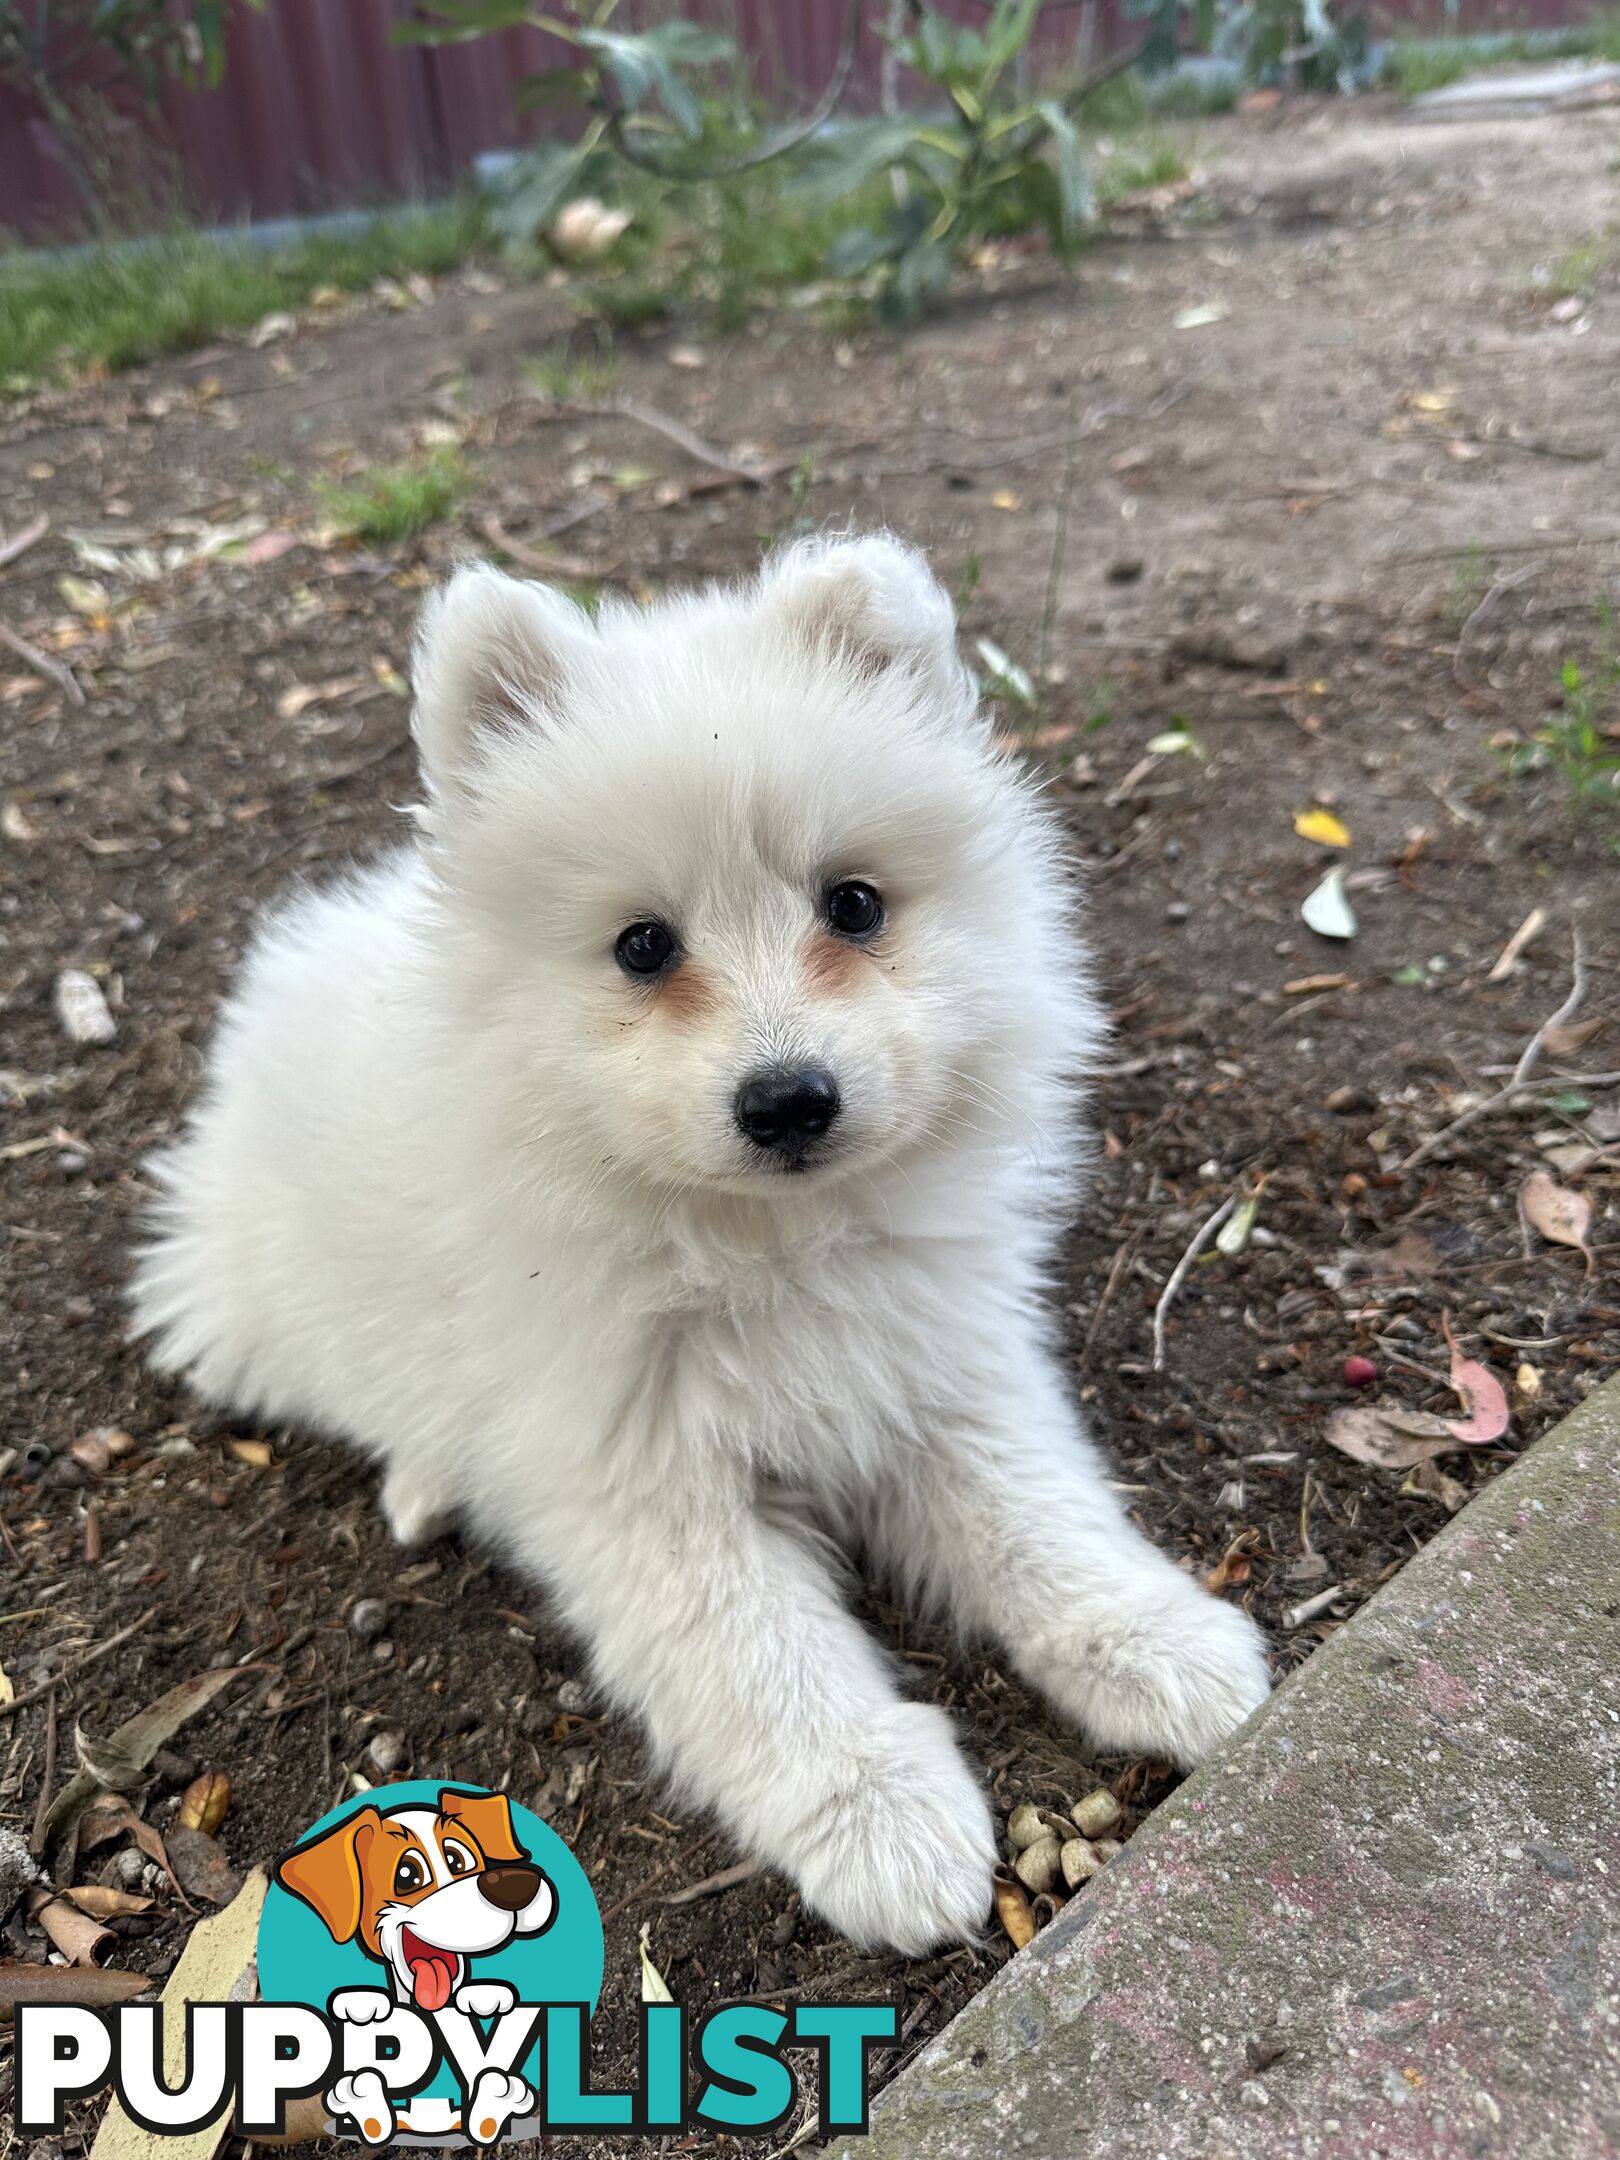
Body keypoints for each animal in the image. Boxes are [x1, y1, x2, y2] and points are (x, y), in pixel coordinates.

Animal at [130, 535, 1270, 1961]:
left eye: (855, 904)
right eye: (641, 946)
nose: (788, 1100)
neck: (765, 1246)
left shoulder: (939, 1364)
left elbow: (1042, 1520)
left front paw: (1158, 1643)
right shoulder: (645, 1480)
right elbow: (761, 1660)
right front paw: (883, 1820)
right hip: (284, 1306)